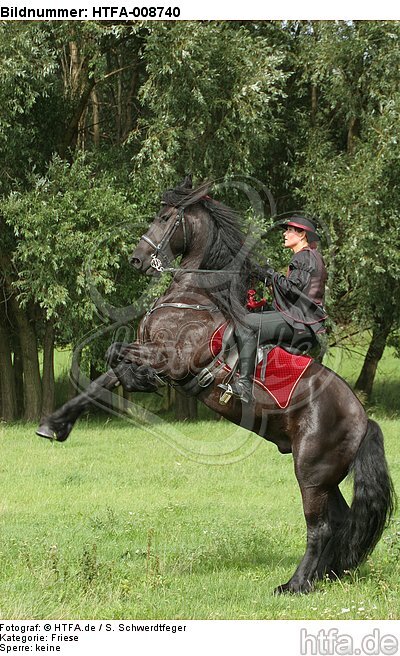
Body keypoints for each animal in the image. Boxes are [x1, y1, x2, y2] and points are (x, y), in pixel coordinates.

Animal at [37, 176, 395, 595]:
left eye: (164, 217)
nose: (137, 260)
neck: (195, 295)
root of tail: (362, 418)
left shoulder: (169, 358)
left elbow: (113, 356)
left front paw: (141, 382)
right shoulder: (148, 351)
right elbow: (100, 382)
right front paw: (54, 425)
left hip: (311, 471)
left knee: (319, 528)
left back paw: (293, 585)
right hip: (324, 475)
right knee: (338, 523)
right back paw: (320, 577)